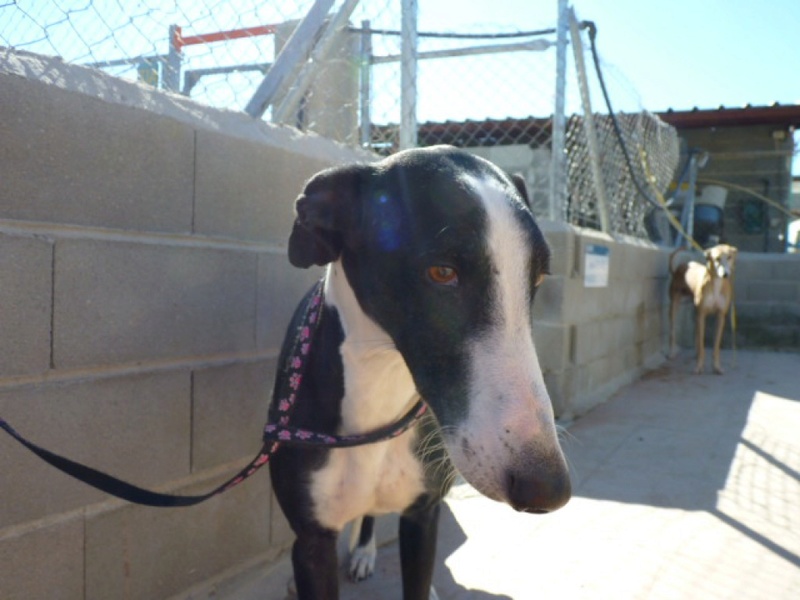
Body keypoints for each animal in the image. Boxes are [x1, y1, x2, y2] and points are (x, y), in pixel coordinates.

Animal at [668, 244, 736, 376]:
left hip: (694, 312)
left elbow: (716, 347)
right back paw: (672, 352)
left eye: (729, 257)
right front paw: (699, 366)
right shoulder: (702, 314)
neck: (716, 285)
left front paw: (716, 367)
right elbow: (702, 344)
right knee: (673, 330)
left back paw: (696, 353)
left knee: (696, 333)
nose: (725, 274)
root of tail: (681, 266)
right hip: (675, 305)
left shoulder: (720, 316)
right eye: (717, 258)